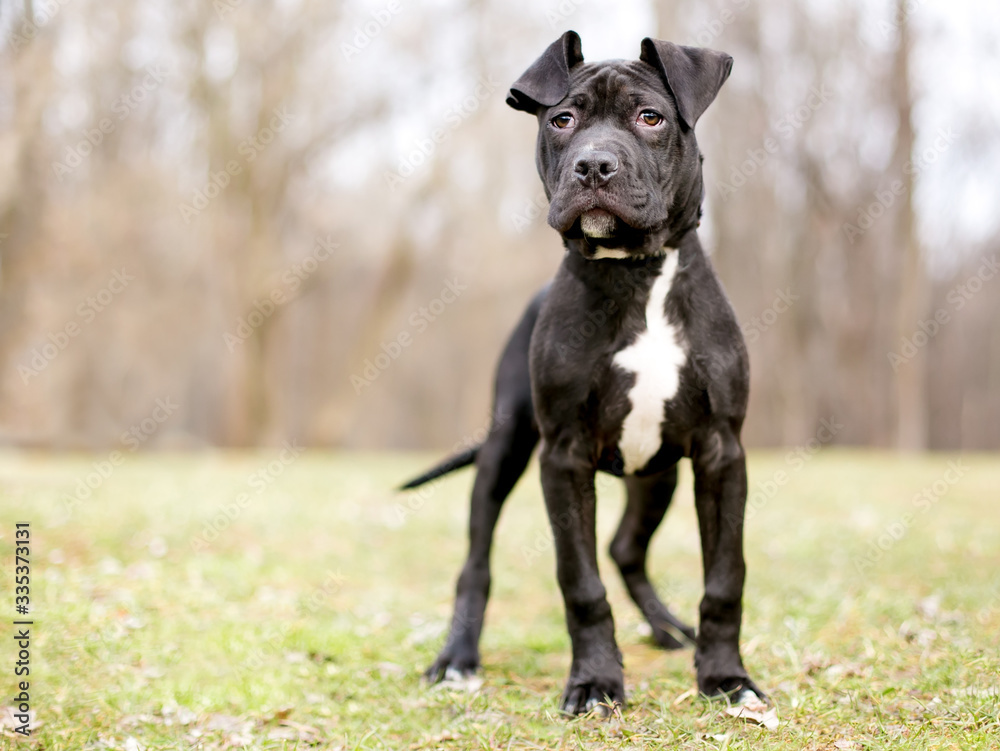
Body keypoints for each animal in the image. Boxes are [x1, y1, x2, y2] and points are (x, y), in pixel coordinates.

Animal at [400, 32, 764, 716]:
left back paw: (666, 627)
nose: (593, 167)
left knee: (626, 547)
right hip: (506, 447)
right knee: (477, 562)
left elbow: (725, 577)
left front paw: (725, 677)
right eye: (562, 120)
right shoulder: (563, 455)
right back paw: (458, 657)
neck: (636, 273)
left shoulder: (720, 451)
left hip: (657, 475)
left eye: (650, 117)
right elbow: (580, 580)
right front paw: (596, 681)